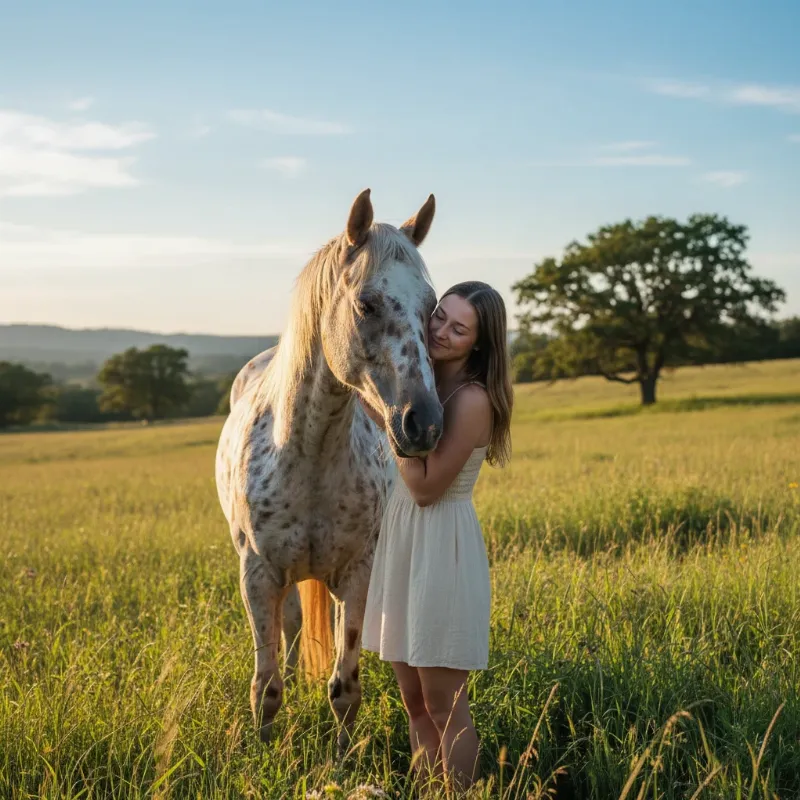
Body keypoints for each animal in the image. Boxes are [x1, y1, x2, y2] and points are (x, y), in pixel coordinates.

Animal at [215, 188, 444, 750]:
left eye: (432, 307)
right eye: (366, 304)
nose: (424, 424)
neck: (310, 454)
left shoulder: (359, 574)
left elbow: (345, 686)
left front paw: (341, 759)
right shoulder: (257, 576)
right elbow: (265, 685)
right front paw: (262, 752)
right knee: (291, 628)